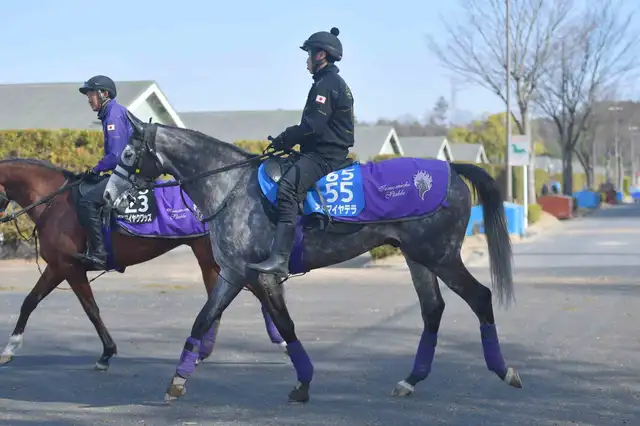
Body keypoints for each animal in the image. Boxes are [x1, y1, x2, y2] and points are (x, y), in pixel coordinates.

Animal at [0, 158, 286, 371]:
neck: (55, 202)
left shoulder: (69, 268)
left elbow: (91, 310)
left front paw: (107, 353)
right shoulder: (58, 267)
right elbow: (30, 301)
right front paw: (10, 348)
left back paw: (281, 341)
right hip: (210, 260)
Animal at [103, 111, 522, 404]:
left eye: (128, 152)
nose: (107, 196)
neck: (230, 186)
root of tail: (450, 168)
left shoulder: (262, 276)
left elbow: (285, 326)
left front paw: (303, 383)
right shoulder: (233, 274)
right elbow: (202, 320)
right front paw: (177, 381)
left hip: (441, 256)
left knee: (480, 297)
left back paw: (505, 371)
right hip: (419, 258)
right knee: (433, 309)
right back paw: (410, 380)